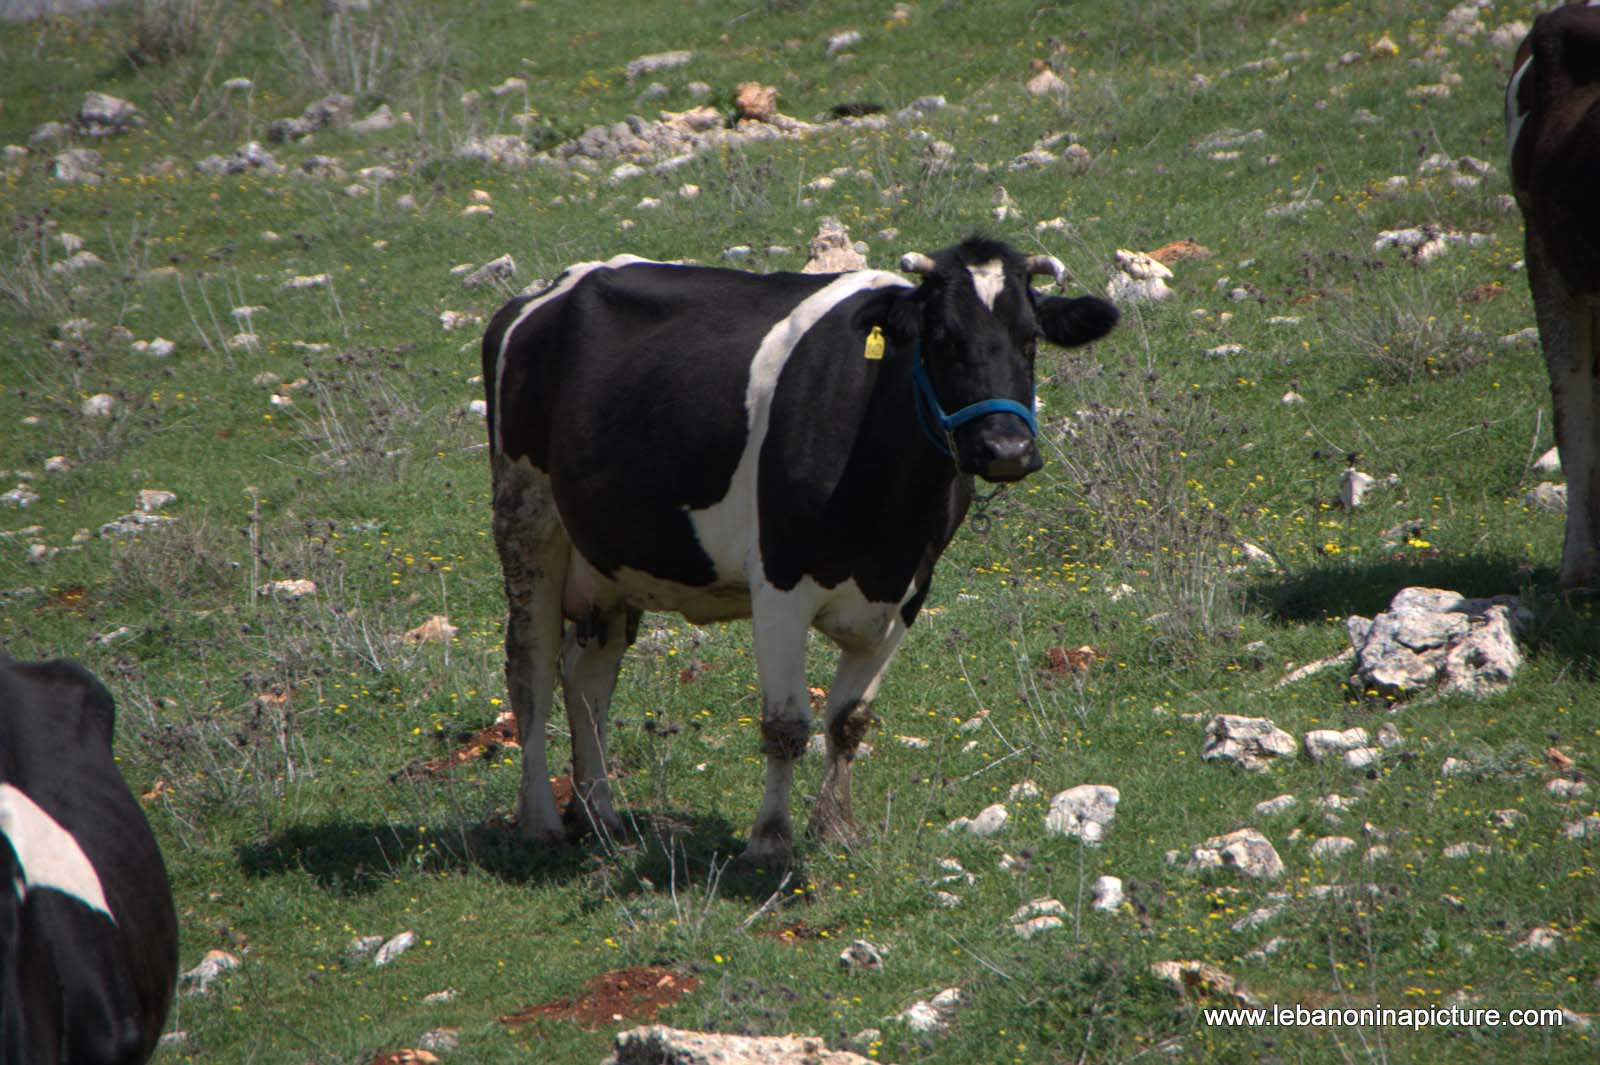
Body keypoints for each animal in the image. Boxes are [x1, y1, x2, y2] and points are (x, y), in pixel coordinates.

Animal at [480, 235, 1120, 863]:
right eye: (942, 339)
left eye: (1030, 339)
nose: (1006, 448)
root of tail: (545, 292)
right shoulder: (779, 585)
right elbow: (787, 726)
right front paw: (770, 841)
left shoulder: (909, 590)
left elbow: (849, 720)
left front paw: (835, 828)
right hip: (526, 517)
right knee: (531, 668)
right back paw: (540, 821)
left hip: (609, 556)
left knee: (587, 678)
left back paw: (600, 818)